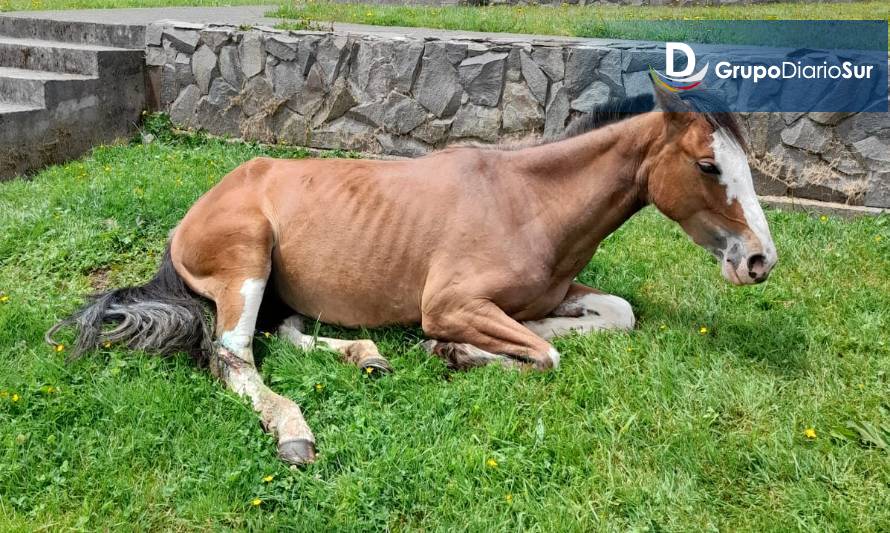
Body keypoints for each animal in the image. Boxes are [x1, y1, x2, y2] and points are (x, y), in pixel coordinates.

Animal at [48, 82, 772, 462]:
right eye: (708, 165)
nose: (760, 261)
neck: (528, 200)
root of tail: (190, 218)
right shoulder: (449, 302)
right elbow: (543, 355)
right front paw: (452, 351)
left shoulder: (557, 293)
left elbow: (613, 315)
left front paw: (460, 348)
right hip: (248, 263)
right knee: (232, 355)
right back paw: (295, 431)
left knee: (281, 333)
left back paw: (368, 356)